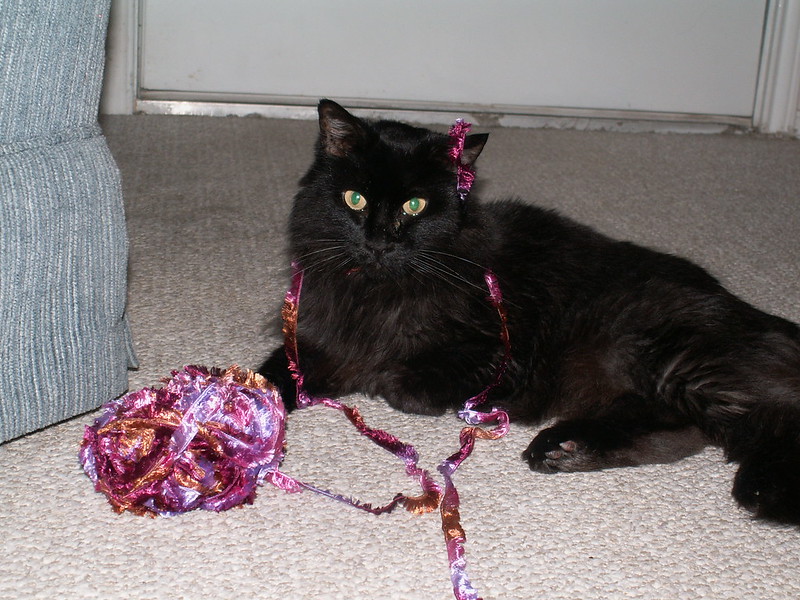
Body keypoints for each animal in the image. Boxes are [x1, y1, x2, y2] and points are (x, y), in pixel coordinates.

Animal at [262, 98, 800, 524]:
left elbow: (403, 385)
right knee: (679, 433)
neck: (379, 290)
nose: (378, 240)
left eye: (414, 206)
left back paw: (766, 491)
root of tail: (740, 308)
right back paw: (565, 450)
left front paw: (381, 380)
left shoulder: (496, 356)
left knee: (771, 414)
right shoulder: (318, 344)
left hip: (675, 361)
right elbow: (272, 378)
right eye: (355, 199)